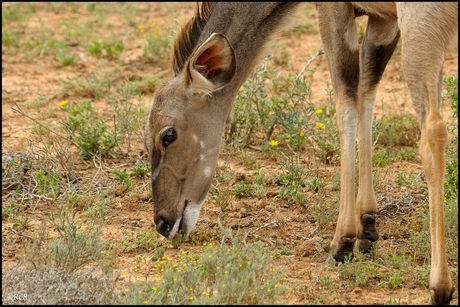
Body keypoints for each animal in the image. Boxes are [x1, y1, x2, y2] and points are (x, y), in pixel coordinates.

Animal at [146, 3, 458, 306]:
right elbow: (366, 95)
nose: (163, 223)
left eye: (168, 135)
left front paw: (342, 243)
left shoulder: (335, 12)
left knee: (433, 132)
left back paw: (439, 288)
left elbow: (346, 105)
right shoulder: (384, 22)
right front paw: (367, 228)